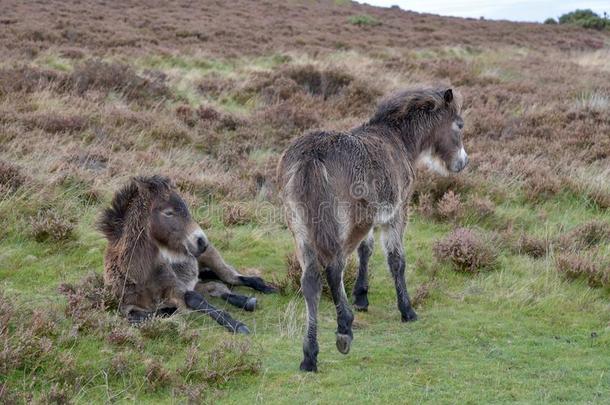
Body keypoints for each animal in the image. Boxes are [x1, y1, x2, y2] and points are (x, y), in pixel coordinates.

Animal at [98, 175, 274, 332]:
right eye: (168, 212)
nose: (201, 241)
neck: (141, 276)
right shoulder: (126, 306)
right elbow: (141, 315)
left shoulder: (175, 287)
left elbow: (192, 298)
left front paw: (237, 325)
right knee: (213, 285)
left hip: (214, 260)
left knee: (232, 278)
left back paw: (262, 292)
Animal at [278, 87, 468, 370]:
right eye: (459, 125)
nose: (463, 162)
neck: (398, 140)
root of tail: (311, 158)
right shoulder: (397, 214)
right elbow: (396, 260)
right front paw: (407, 310)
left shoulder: (369, 224)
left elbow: (365, 251)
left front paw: (361, 297)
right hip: (342, 225)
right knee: (334, 268)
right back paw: (344, 329)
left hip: (301, 229)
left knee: (311, 280)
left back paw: (310, 355)